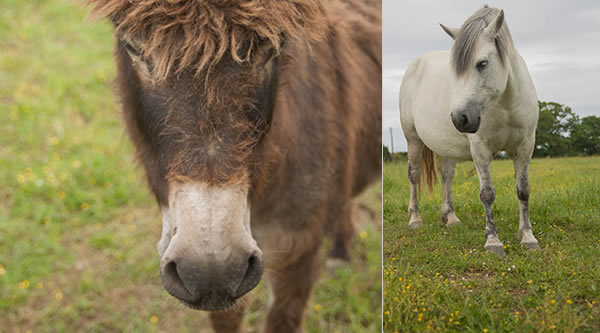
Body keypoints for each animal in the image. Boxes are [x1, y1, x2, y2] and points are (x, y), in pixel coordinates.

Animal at [400, 5, 540, 255]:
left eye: (482, 63)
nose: (460, 118)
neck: (505, 104)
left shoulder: (525, 146)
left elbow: (523, 190)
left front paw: (527, 237)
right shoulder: (480, 149)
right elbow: (487, 193)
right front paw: (493, 241)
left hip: (447, 147)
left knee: (446, 176)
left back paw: (450, 218)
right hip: (413, 140)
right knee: (414, 175)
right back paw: (415, 219)